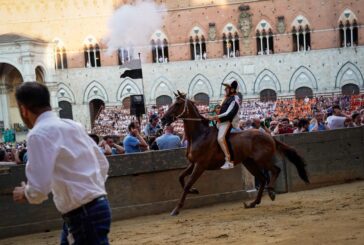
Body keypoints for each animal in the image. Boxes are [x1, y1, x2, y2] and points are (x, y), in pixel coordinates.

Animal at [161, 92, 308, 216]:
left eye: (177, 104)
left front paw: (176, 209)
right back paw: (253, 203)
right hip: (249, 163)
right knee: (262, 179)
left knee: (275, 170)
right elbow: (180, 177)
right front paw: (194, 190)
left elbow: (187, 184)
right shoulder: (193, 163)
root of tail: (269, 136)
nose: (163, 119)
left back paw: (271, 191)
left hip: (262, 160)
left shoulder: (200, 165)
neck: (199, 135)